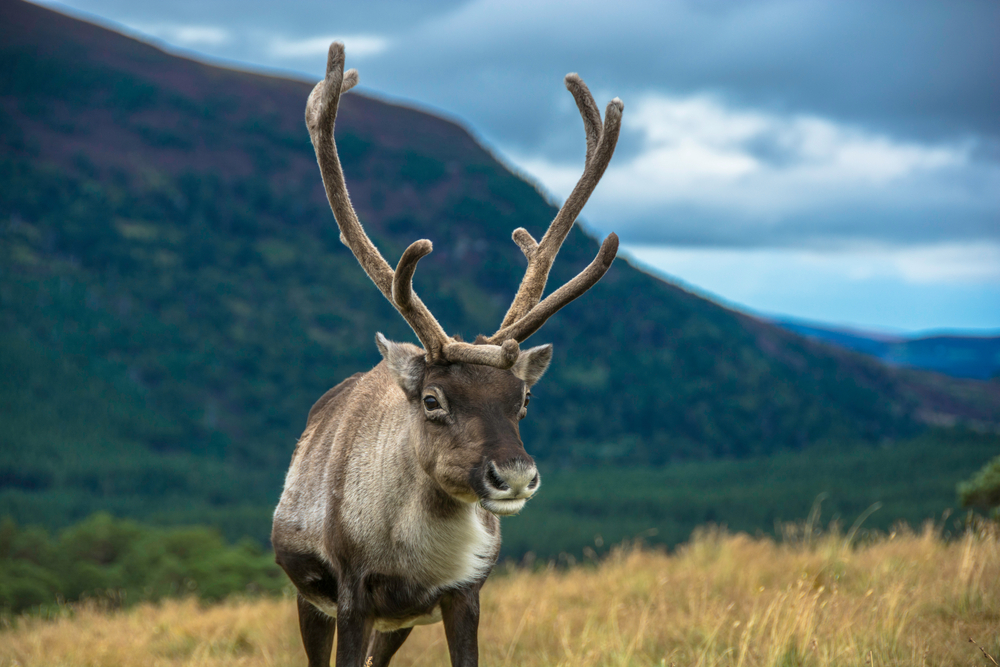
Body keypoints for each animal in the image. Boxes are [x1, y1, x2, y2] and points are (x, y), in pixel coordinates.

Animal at [271, 42, 623, 667]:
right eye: (432, 400)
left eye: (524, 400)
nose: (514, 475)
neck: (417, 561)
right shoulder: (351, 596)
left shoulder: (463, 595)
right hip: (309, 600)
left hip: (400, 625)